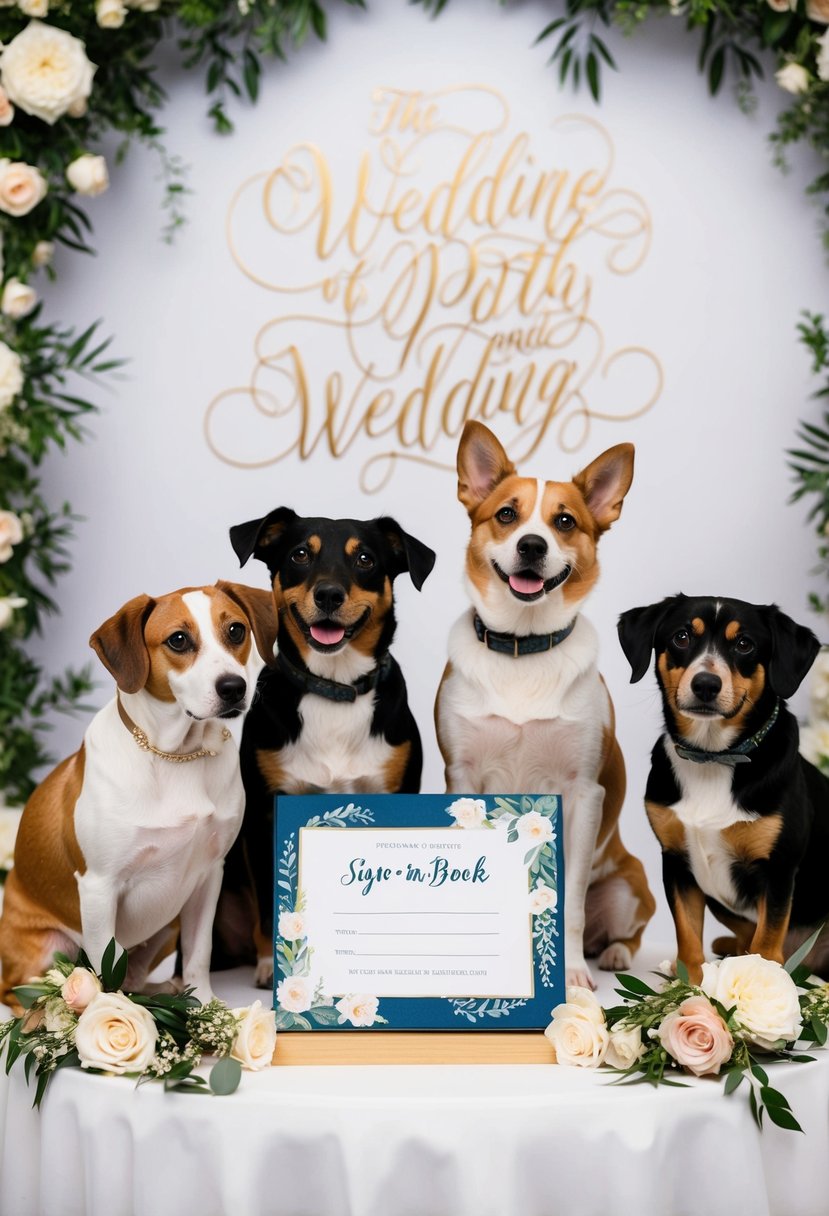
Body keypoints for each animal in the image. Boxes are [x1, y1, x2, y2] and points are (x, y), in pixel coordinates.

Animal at [0, 583, 277, 1011]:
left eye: (236, 630)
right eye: (178, 640)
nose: (234, 687)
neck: (178, 755)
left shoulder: (208, 878)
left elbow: (199, 954)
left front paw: (206, 1007)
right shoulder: (99, 887)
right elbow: (104, 967)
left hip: (170, 922)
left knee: (136, 975)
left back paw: (165, 992)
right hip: (44, 948)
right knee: (22, 990)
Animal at [212, 505, 435, 987]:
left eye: (366, 559)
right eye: (300, 554)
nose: (330, 594)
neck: (334, 687)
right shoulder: (264, 814)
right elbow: (268, 904)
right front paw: (271, 966)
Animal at [435, 423, 656, 992]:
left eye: (565, 522)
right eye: (506, 515)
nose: (532, 545)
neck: (523, 646)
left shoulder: (582, 795)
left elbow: (570, 904)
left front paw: (572, 974)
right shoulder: (464, 777)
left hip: (630, 886)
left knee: (624, 931)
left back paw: (612, 955)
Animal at [612, 593, 826, 982]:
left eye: (744, 644)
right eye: (682, 637)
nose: (706, 684)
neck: (713, 757)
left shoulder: (778, 868)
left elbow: (767, 943)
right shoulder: (676, 862)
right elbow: (687, 934)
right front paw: (691, 983)